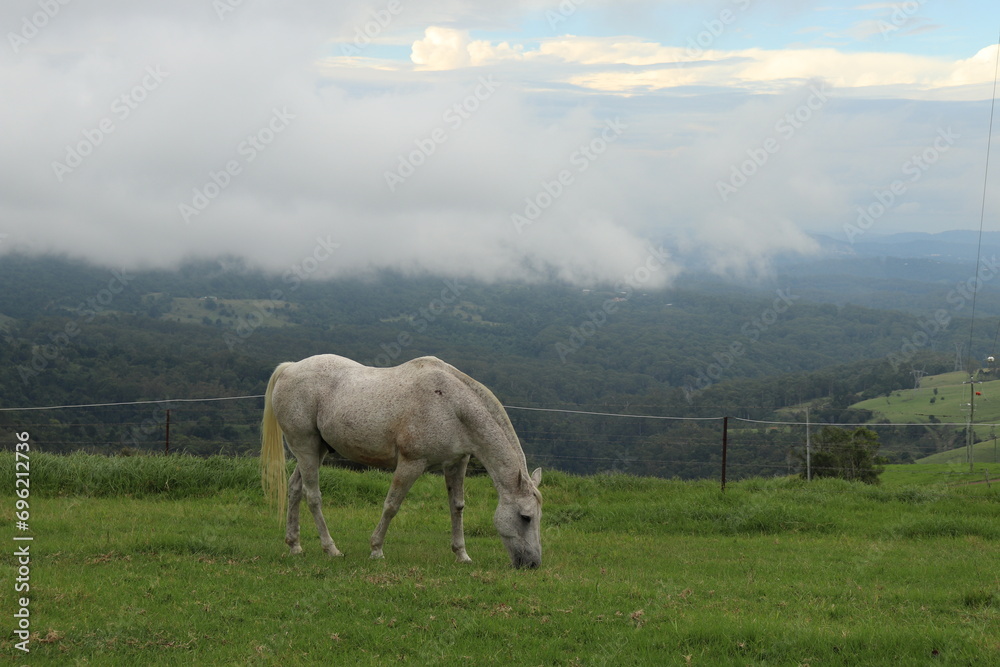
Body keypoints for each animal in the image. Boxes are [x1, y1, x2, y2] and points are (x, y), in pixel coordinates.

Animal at [260, 354, 543, 568]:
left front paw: (462, 554)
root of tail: (290, 368)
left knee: (296, 489)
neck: (451, 405)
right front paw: (376, 550)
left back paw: (295, 545)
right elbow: (392, 505)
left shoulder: (457, 462)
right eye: (526, 517)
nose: (532, 564)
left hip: (316, 450)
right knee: (313, 496)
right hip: (305, 446)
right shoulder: (411, 463)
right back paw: (331, 549)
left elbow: (457, 507)